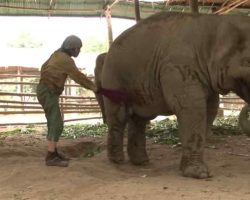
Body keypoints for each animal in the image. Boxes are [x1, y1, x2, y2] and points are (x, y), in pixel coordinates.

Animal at [95, 11, 250, 179]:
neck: (216, 21)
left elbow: (210, 109)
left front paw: (189, 170)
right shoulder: (177, 67)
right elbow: (192, 108)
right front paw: (199, 174)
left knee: (139, 119)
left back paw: (141, 162)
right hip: (113, 77)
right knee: (119, 116)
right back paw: (117, 161)